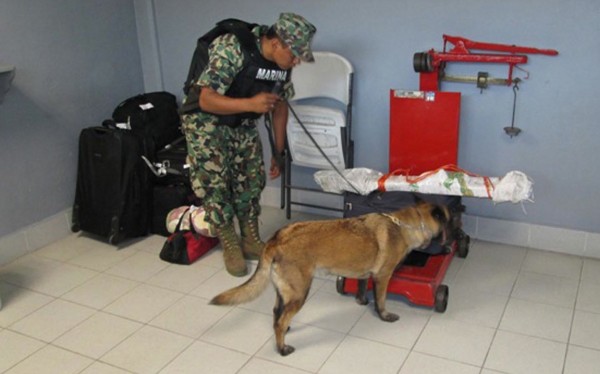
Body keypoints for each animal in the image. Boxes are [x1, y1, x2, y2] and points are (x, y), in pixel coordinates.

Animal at [211, 202, 450, 356]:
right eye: (453, 221)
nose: (454, 246)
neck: (402, 226)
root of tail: (277, 238)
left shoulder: (365, 273)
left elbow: (362, 286)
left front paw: (362, 300)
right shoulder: (383, 277)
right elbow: (381, 300)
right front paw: (384, 315)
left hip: (285, 291)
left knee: (277, 314)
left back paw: (284, 330)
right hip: (299, 293)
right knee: (280, 321)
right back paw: (282, 348)